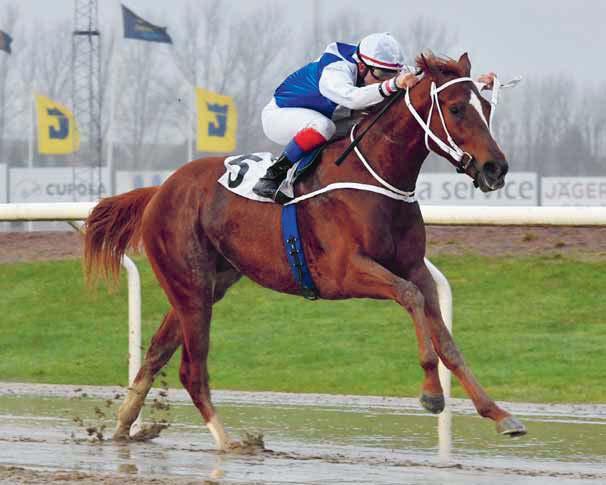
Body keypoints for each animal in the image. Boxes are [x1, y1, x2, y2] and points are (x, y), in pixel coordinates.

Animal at [84, 51, 528, 448]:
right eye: (456, 108)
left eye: (487, 107)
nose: (496, 169)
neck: (373, 176)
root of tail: (160, 189)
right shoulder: (344, 272)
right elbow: (410, 298)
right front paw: (432, 394)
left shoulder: (415, 267)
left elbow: (447, 340)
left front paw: (499, 414)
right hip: (190, 285)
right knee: (192, 370)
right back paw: (228, 442)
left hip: (206, 284)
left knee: (157, 351)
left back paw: (124, 426)